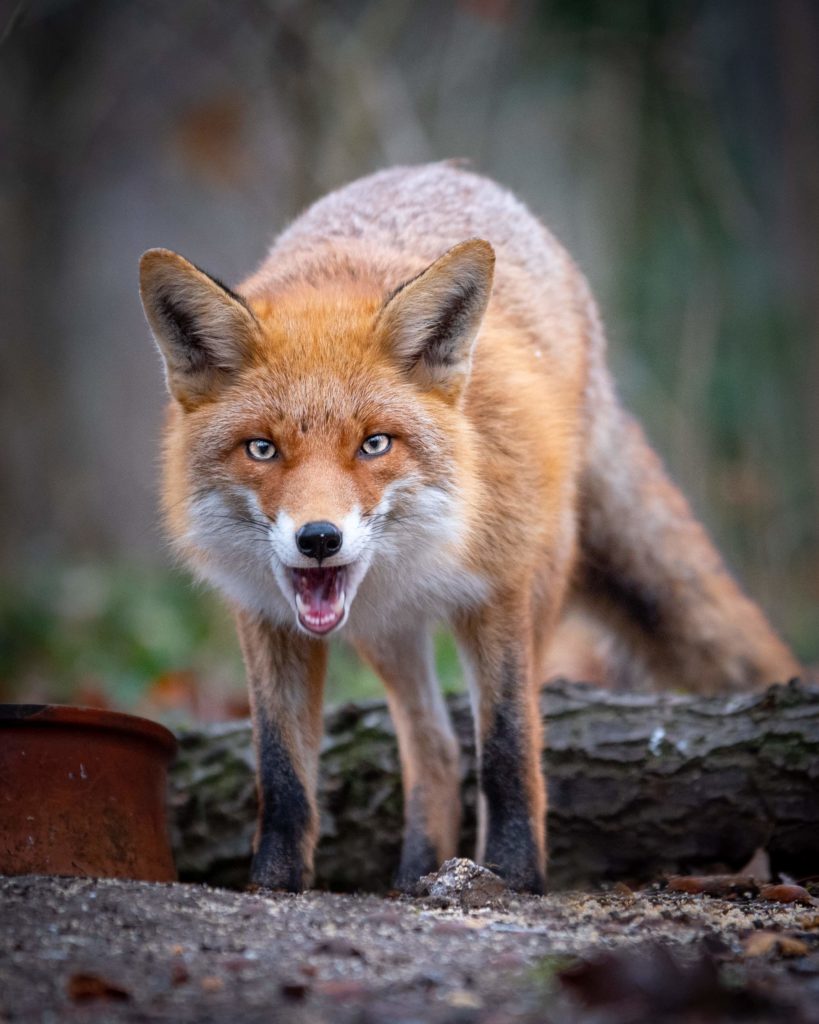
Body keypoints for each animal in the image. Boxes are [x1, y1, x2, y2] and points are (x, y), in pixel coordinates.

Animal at [139, 162, 800, 894]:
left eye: (374, 444)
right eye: (261, 449)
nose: (318, 540)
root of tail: (440, 171)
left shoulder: (502, 586)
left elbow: (509, 747)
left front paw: (513, 875)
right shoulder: (266, 615)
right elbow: (281, 771)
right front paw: (273, 884)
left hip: (543, 573)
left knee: (492, 736)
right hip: (384, 634)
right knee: (437, 750)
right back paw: (416, 874)